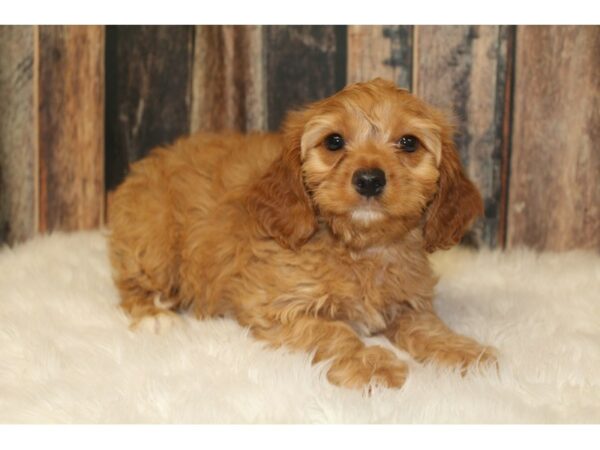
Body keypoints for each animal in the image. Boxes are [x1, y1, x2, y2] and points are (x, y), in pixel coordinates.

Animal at [108, 79, 496, 388]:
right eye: (334, 141)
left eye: (409, 143)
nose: (369, 179)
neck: (360, 247)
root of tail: (151, 160)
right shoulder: (275, 306)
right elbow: (334, 332)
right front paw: (370, 365)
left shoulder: (409, 302)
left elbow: (428, 328)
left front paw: (462, 351)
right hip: (153, 241)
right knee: (134, 283)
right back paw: (155, 317)